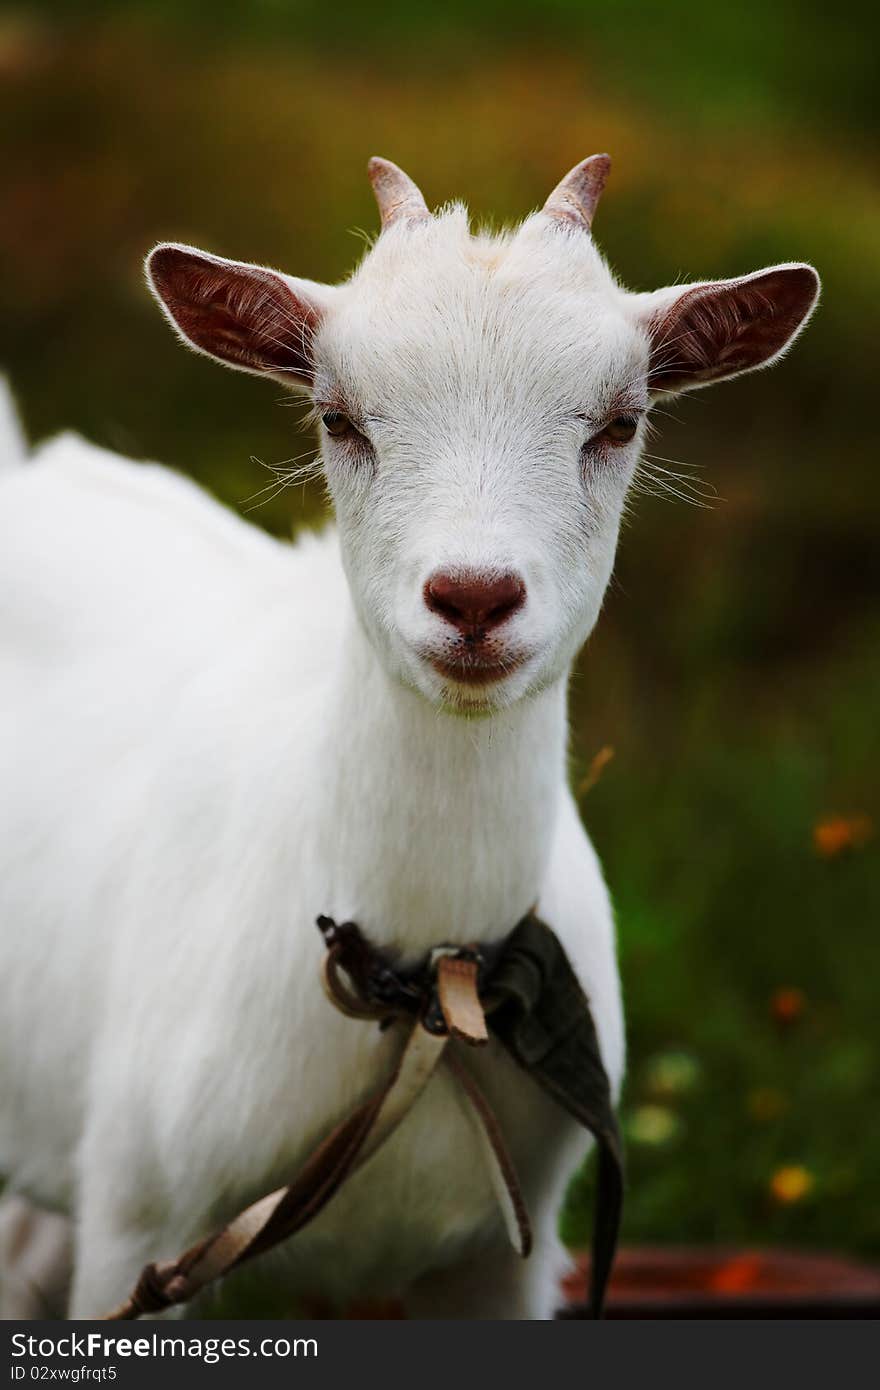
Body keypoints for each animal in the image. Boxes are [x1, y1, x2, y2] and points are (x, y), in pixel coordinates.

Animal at [0, 157, 817, 1317]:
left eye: (619, 423)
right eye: (339, 417)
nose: (473, 596)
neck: (426, 989)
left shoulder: (507, 1256)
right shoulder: (137, 1215)